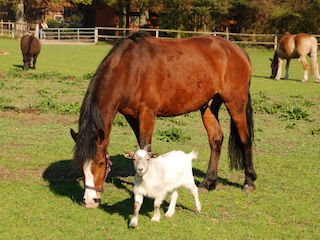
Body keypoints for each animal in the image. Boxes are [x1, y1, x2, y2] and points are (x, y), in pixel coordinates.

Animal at [71, 31, 256, 208]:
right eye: (79, 165)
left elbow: (145, 147)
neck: (131, 69)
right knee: (216, 139)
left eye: (101, 163)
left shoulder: (147, 113)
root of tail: (239, 51)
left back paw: (249, 181)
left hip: (235, 103)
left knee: (245, 138)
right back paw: (208, 182)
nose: (90, 201)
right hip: (208, 106)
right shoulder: (131, 116)